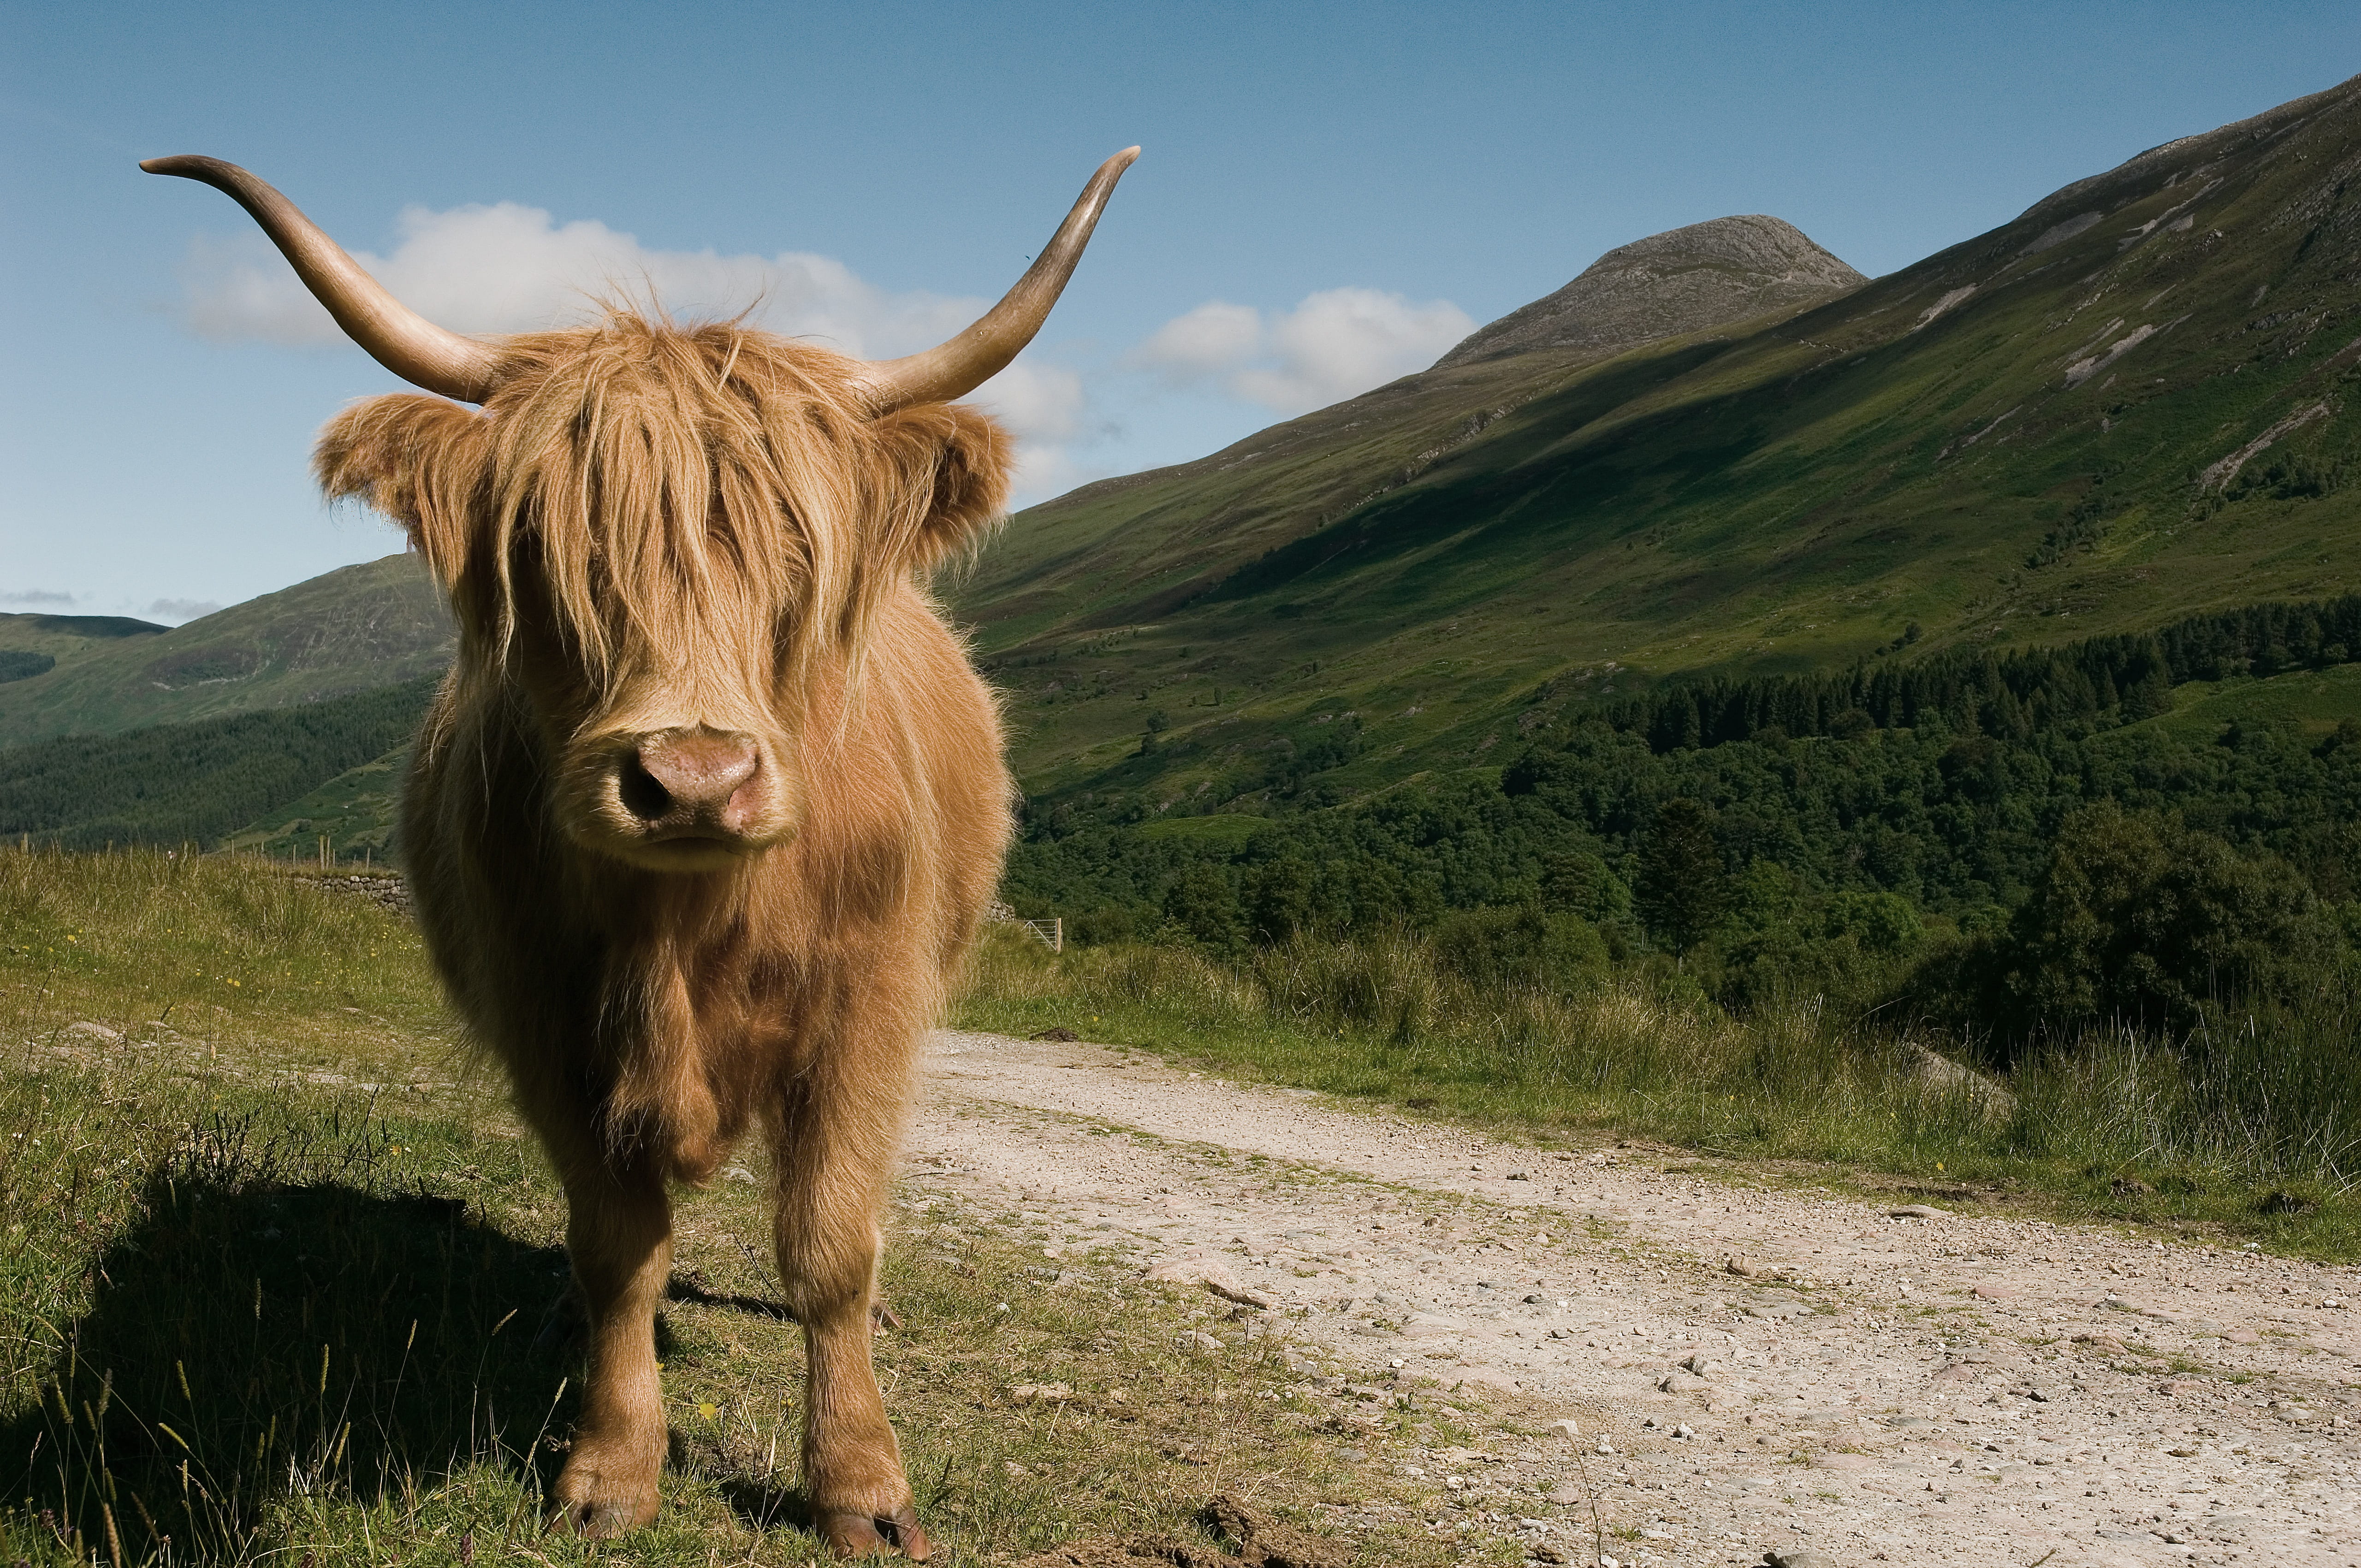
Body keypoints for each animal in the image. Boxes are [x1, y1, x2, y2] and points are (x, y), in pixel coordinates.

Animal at [143, 147, 1137, 1558]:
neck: (691, 928)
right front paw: (611, 1466)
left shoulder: (870, 1007)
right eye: (548, 552)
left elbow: (830, 1243)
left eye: (801, 558)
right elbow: (618, 1246)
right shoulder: (542, 1019)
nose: (693, 781)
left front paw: (862, 1484)